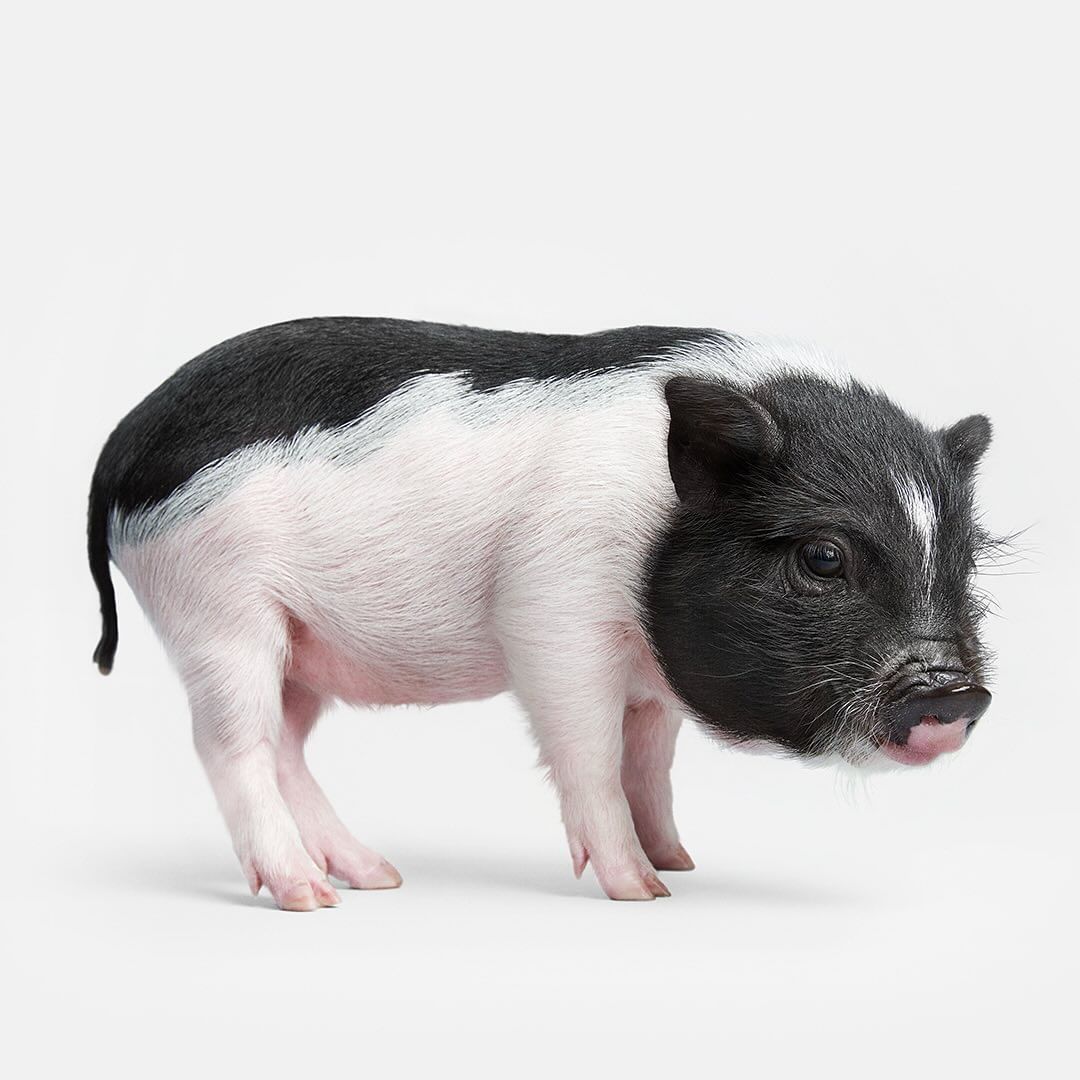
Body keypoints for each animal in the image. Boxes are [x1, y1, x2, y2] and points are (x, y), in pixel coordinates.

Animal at [88, 318, 996, 909]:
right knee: (230, 746)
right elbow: (589, 751)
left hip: (299, 649)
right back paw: (312, 898)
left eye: (969, 558)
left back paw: (377, 876)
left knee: (286, 746)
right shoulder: (550, 606)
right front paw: (645, 889)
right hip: (218, 610)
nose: (953, 692)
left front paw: (680, 858)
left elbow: (650, 758)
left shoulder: (649, 678)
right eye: (822, 558)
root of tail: (124, 441)